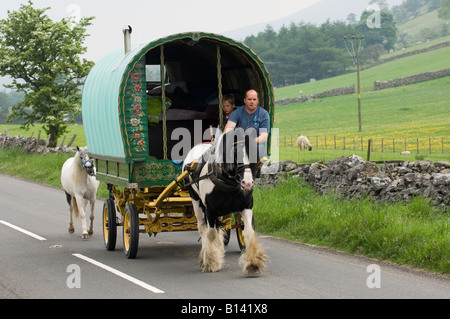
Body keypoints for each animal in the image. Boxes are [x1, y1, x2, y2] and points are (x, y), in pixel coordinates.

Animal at [185, 129, 268, 276]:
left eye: (253, 153)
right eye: (235, 153)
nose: (247, 183)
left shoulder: (246, 207)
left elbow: (248, 232)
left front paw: (252, 263)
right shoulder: (210, 209)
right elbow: (211, 233)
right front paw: (210, 262)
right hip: (196, 201)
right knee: (203, 228)